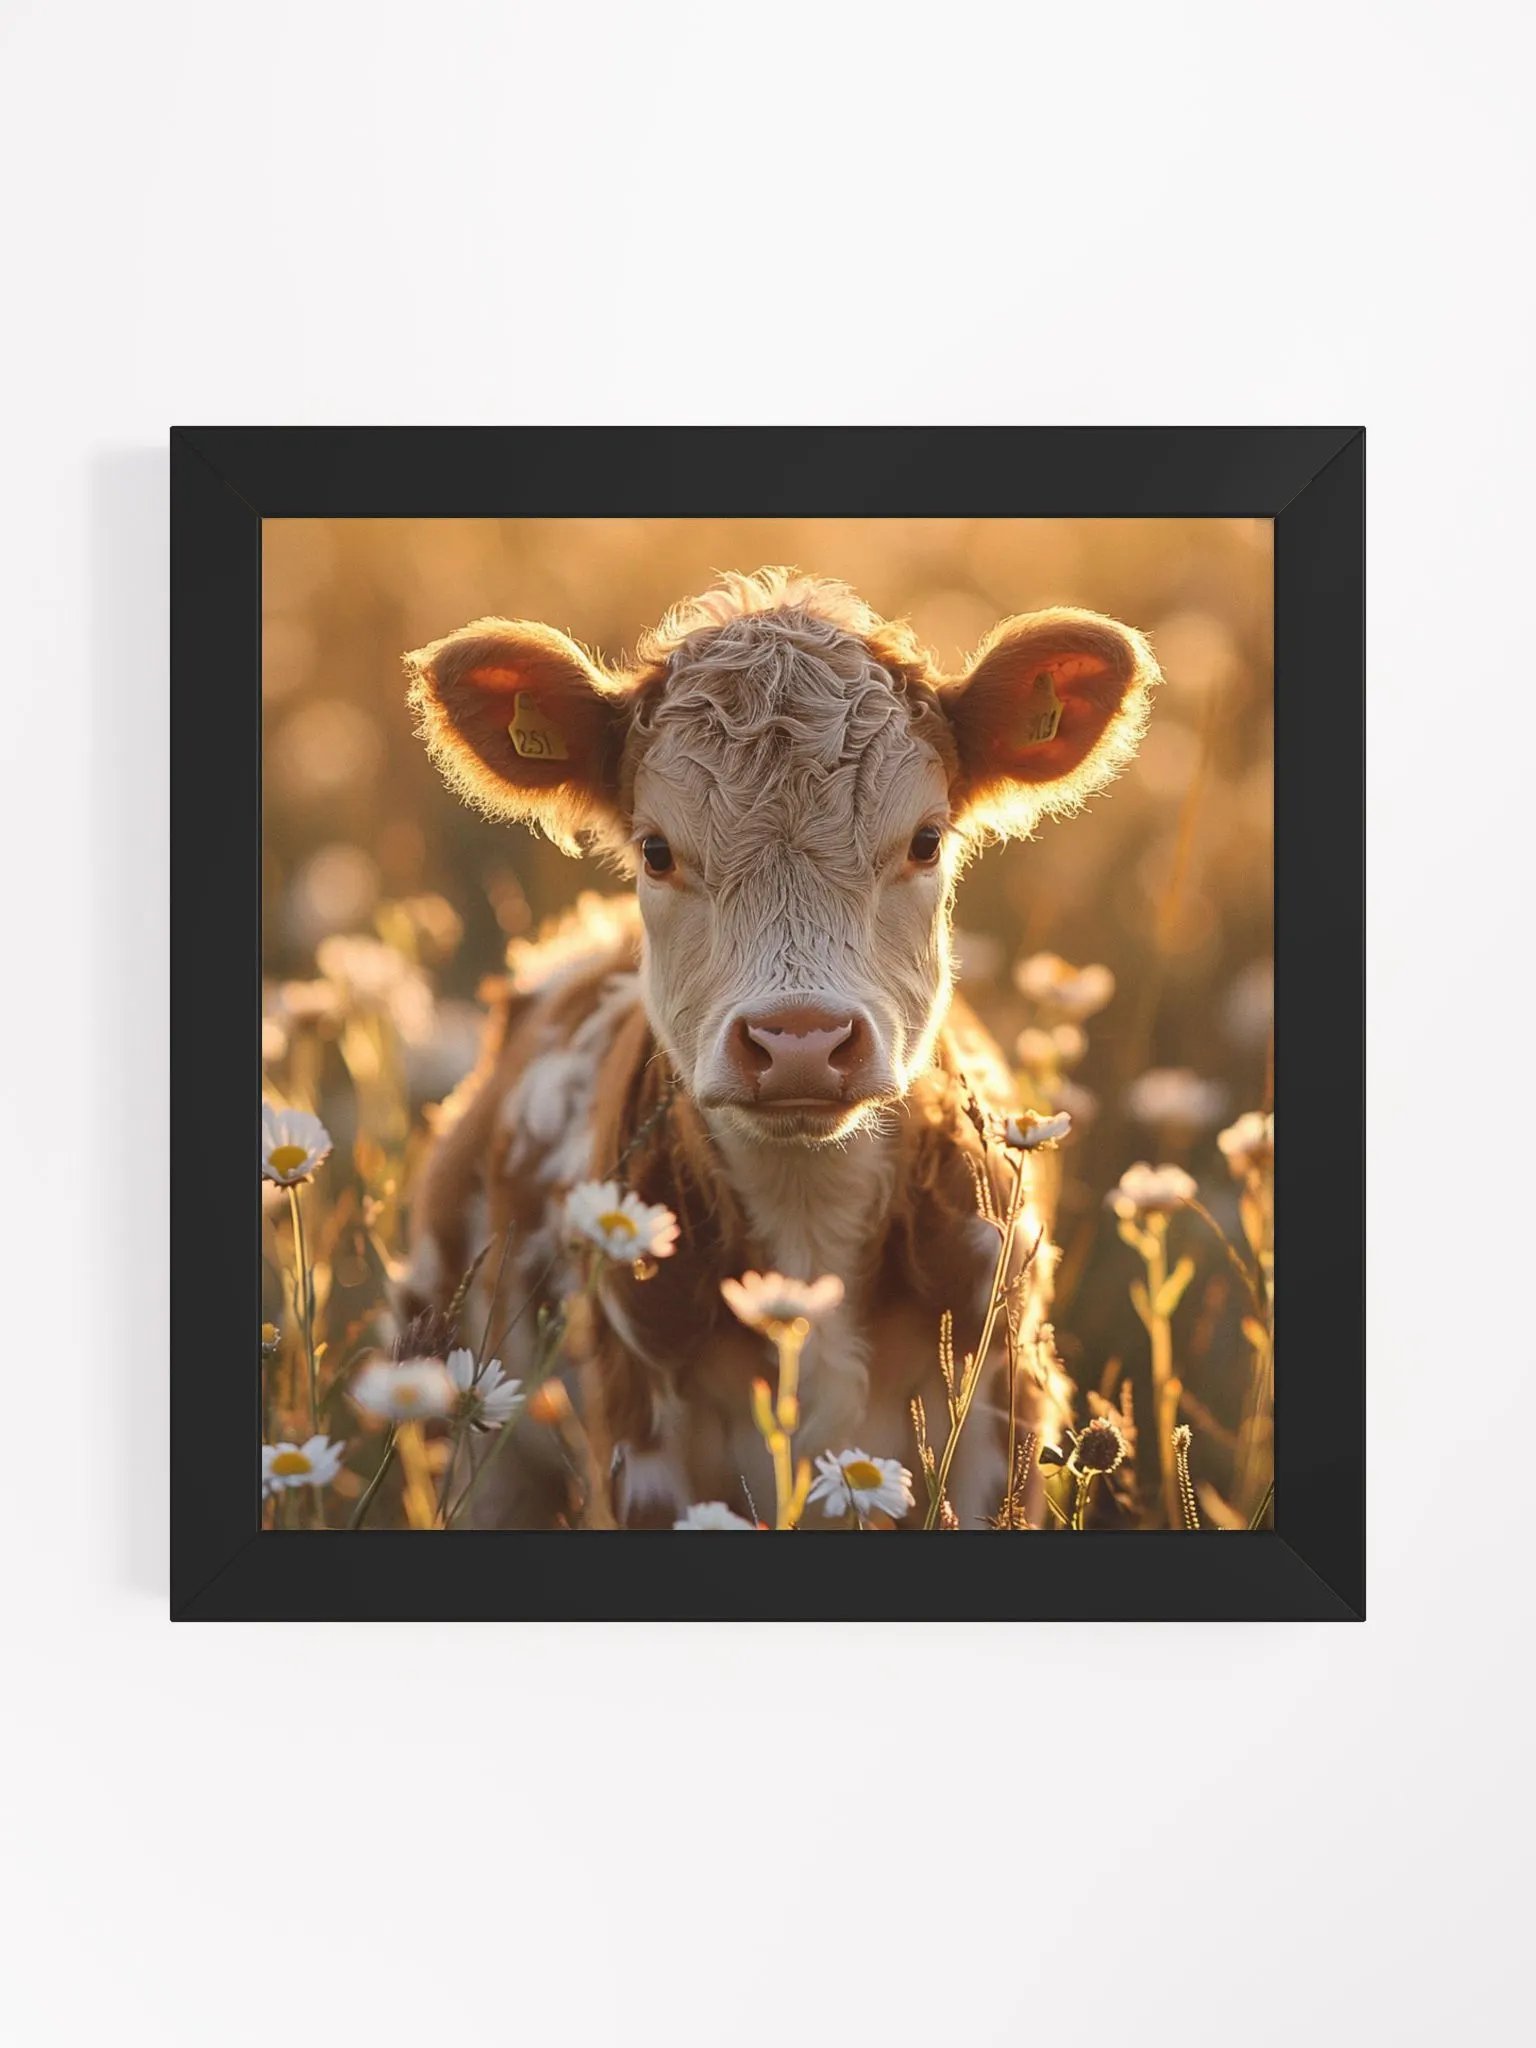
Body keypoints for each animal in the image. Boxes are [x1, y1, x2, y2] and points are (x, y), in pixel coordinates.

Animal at [398, 568, 1159, 1528]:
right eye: (656, 850)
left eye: (925, 841)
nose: (800, 1041)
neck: (808, 1216)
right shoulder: (641, 1443)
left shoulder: (1000, 1413)